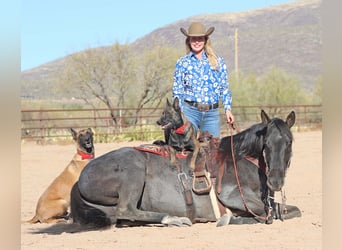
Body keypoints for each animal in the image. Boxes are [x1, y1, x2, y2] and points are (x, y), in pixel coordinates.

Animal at [69, 109, 300, 229]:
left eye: (289, 142)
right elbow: (266, 214)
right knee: (126, 209)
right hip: (133, 169)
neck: (240, 160)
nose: (275, 181)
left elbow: (289, 210)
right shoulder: (231, 195)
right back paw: (173, 218)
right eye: (266, 144)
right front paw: (228, 218)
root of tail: (80, 179)